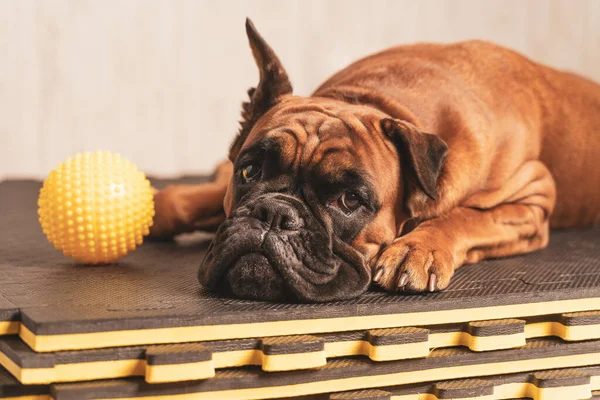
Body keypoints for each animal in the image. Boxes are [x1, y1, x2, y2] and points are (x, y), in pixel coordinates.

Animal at [151, 18, 600, 300]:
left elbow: (465, 216)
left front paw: (417, 249)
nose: (275, 214)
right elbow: (185, 200)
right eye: (249, 170)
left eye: (349, 201)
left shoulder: (531, 198)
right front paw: (158, 207)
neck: (378, 101)